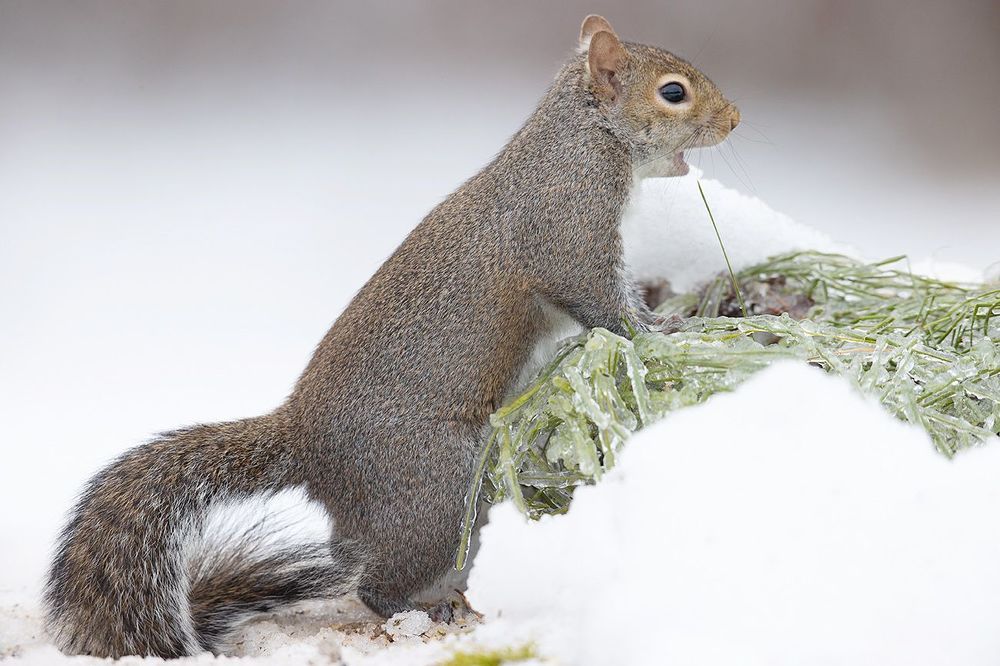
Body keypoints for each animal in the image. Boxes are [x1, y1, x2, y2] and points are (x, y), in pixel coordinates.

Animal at [44, 15, 739, 658]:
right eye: (673, 92)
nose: (734, 119)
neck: (584, 136)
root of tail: (306, 444)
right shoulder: (565, 223)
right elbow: (597, 299)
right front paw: (662, 329)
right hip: (433, 488)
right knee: (373, 582)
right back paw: (424, 610)